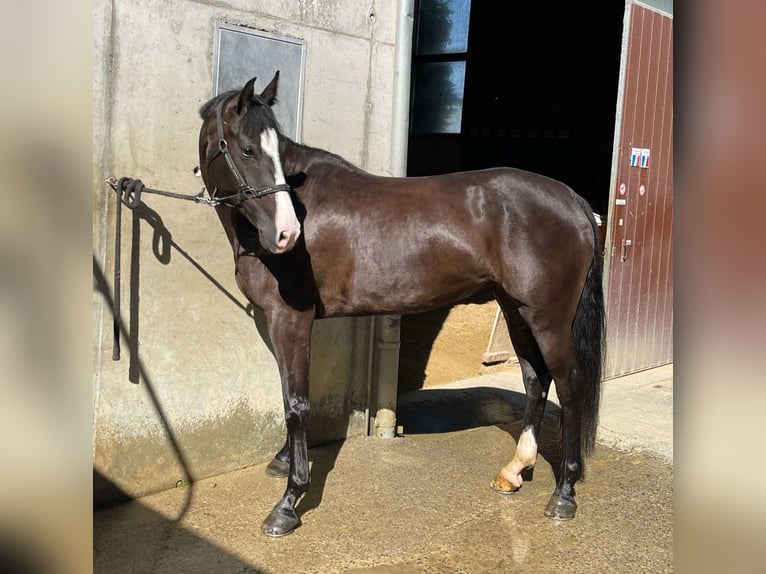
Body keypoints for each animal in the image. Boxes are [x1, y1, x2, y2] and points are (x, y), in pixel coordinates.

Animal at [197, 72, 605, 537]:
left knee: (569, 387)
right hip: (517, 312)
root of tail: (572, 199)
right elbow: (290, 391)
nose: (286, 233)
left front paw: (288, 502)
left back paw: (564, 493)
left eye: (273, 151)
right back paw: (514, 471)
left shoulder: (291, 319)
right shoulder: (281, 323)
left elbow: (296, 402)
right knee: (536, 380)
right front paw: (284, 463)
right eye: (248, 149)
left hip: (549, 320)